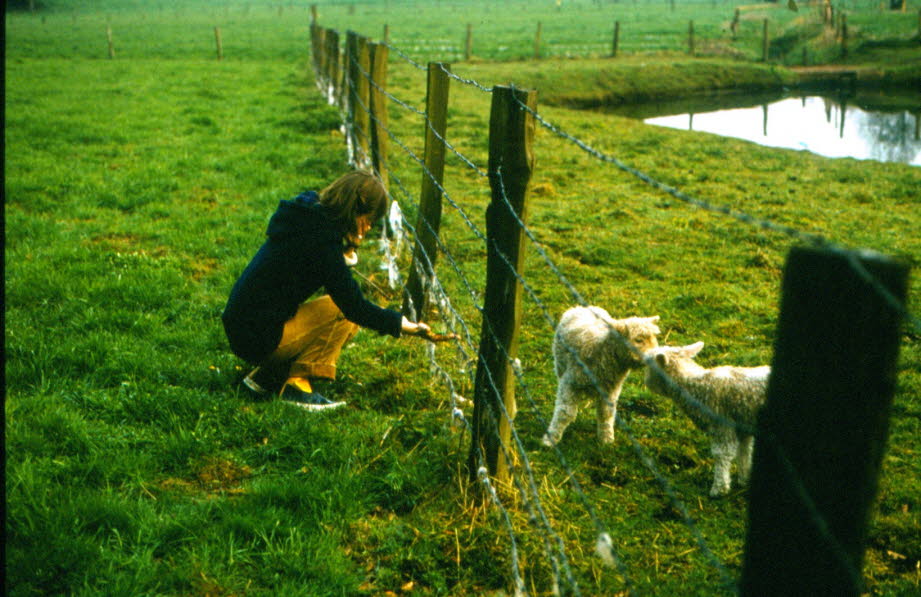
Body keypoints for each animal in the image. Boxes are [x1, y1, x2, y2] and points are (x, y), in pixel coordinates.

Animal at [540, 308, 660, 448]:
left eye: (653, 338)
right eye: (638, 340)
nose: (656, 357)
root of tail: (580, 307)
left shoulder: (610, 390)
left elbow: (606, 413)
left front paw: (606, 439)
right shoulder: (569, 382)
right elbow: (565, 413)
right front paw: (550, 439)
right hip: (560, 366)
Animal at [644, 342, 772, 496]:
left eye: (649, 364)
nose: (646, 383)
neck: (696, 385)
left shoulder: (721, 425)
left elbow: (721, 454)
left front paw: (719, 489)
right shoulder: (742, 427)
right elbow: (745, 452)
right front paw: (745, 479)